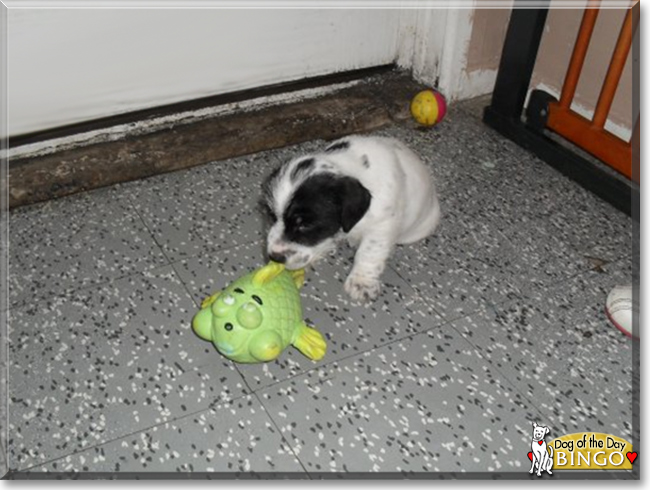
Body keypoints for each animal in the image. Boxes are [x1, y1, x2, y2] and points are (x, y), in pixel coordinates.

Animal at [260, 136, 438, 300]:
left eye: (305, 225)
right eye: (272, 215)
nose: (274, 257)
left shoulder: (381, 227)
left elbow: (369, 252)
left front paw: (362, 282)